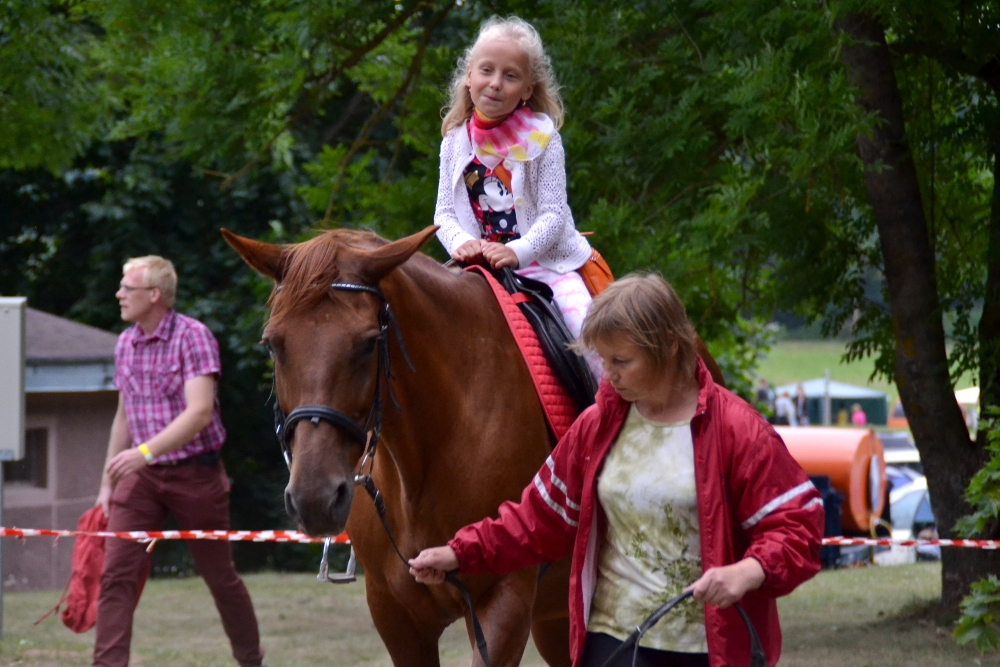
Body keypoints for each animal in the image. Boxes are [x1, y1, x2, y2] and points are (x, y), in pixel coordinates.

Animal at [225, 227, 728, 664]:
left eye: (368, 344)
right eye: (272, 345)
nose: (314, 497)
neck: (423, 461)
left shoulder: (502, 604)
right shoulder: (395, 616)